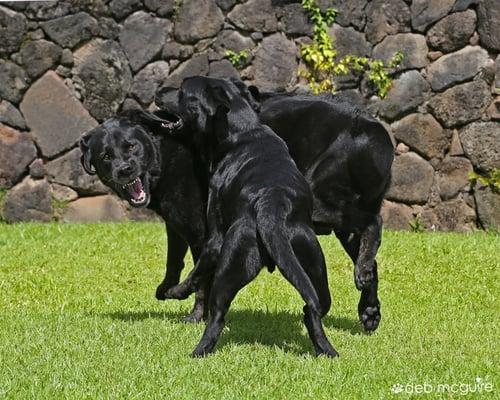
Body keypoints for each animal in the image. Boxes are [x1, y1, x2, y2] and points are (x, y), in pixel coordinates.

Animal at [164, 76, 340, 358]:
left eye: (182, 90)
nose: (160, 90)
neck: (244, 131)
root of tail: (272, 208)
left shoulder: (214, 238)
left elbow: (196, 272)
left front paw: (176, 291)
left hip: (231, 262)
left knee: (216, 317)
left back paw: (199, 352)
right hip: (313, 262)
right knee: (314, 308)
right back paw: (324, 348)